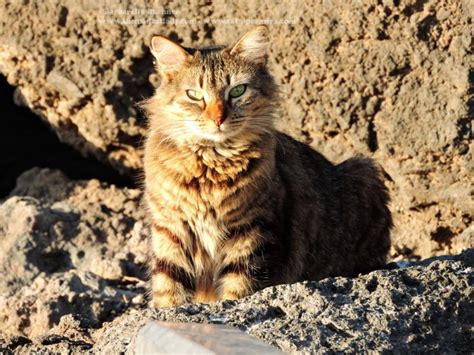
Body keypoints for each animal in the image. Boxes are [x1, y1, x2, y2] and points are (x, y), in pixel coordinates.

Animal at [142, 25, 392, 308]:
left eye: (237, 91)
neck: (210, 166)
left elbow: (239, 289)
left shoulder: (252, 233)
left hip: (363, 170)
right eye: (194, 95)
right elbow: (168, 290)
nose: (218, 118)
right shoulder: (170, 231)